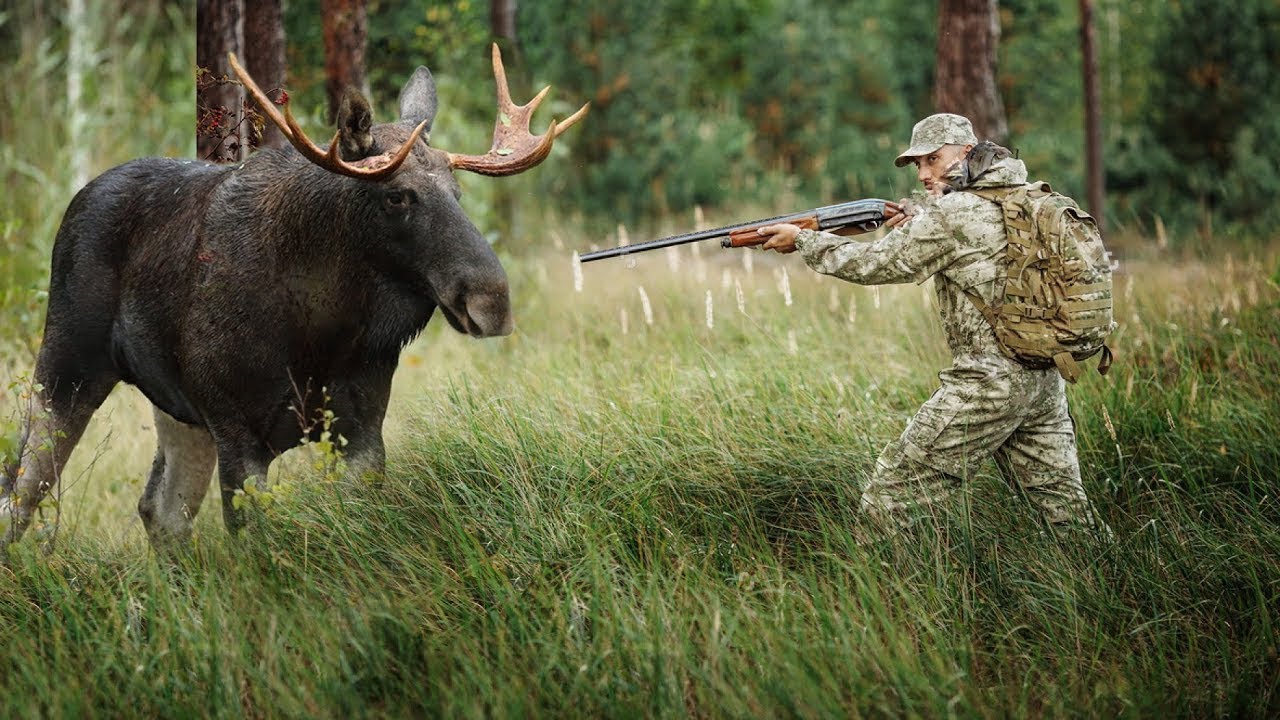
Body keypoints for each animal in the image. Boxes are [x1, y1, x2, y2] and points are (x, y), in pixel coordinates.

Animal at [0, 44, 586, 550]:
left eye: (457, 192)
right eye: (397, 196)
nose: (492, 301)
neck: (323, 331)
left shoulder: (360, 428)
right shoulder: (238, 430)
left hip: (179, 411)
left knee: (159, 510)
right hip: (66, 367)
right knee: (19, 497)